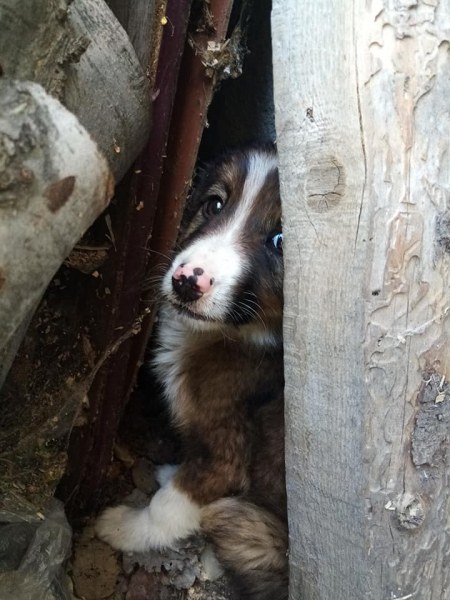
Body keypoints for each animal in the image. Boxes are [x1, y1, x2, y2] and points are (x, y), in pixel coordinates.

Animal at [96, 145, 288, 600]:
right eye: (214, 204)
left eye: (280, 241)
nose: (187, 281)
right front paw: (168, 472)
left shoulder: (225, 457)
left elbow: (166, 508)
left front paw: (123, 528)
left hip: (246, 526)